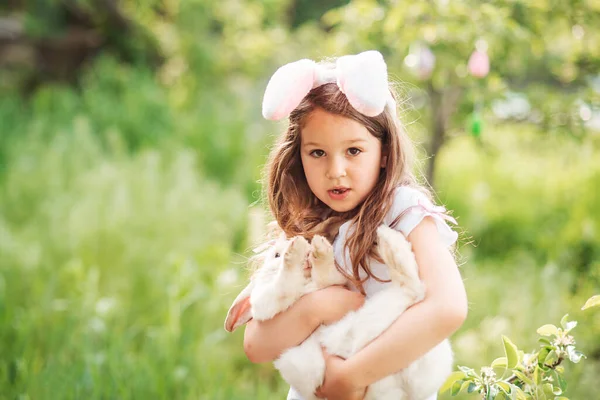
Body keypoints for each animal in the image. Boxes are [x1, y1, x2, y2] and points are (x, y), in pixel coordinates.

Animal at [224, 227, 450, 398]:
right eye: (276, 255)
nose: (307, 251)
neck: (307, 283)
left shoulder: (333, 282)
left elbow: (326, 274)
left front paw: (318, 247)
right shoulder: (266, 300)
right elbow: (285, 283)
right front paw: (297, 249)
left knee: (413, 290)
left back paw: (388, 238)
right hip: (368, 331)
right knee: (411, 290)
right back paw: (388, 240)